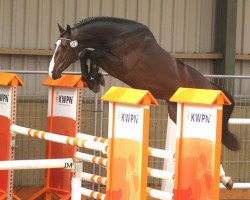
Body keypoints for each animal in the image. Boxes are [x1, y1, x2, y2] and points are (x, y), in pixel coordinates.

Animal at [48, 16, 238, 188]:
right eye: (55, 45)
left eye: (63, 47)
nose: (53, 73)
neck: (118, 37)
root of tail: (211, 85)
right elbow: (85, 53)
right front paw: (94, 79)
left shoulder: (121, 65)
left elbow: (92, 53)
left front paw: (95, 79)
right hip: (175, 112)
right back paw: (224, 179)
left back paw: (223, 178)